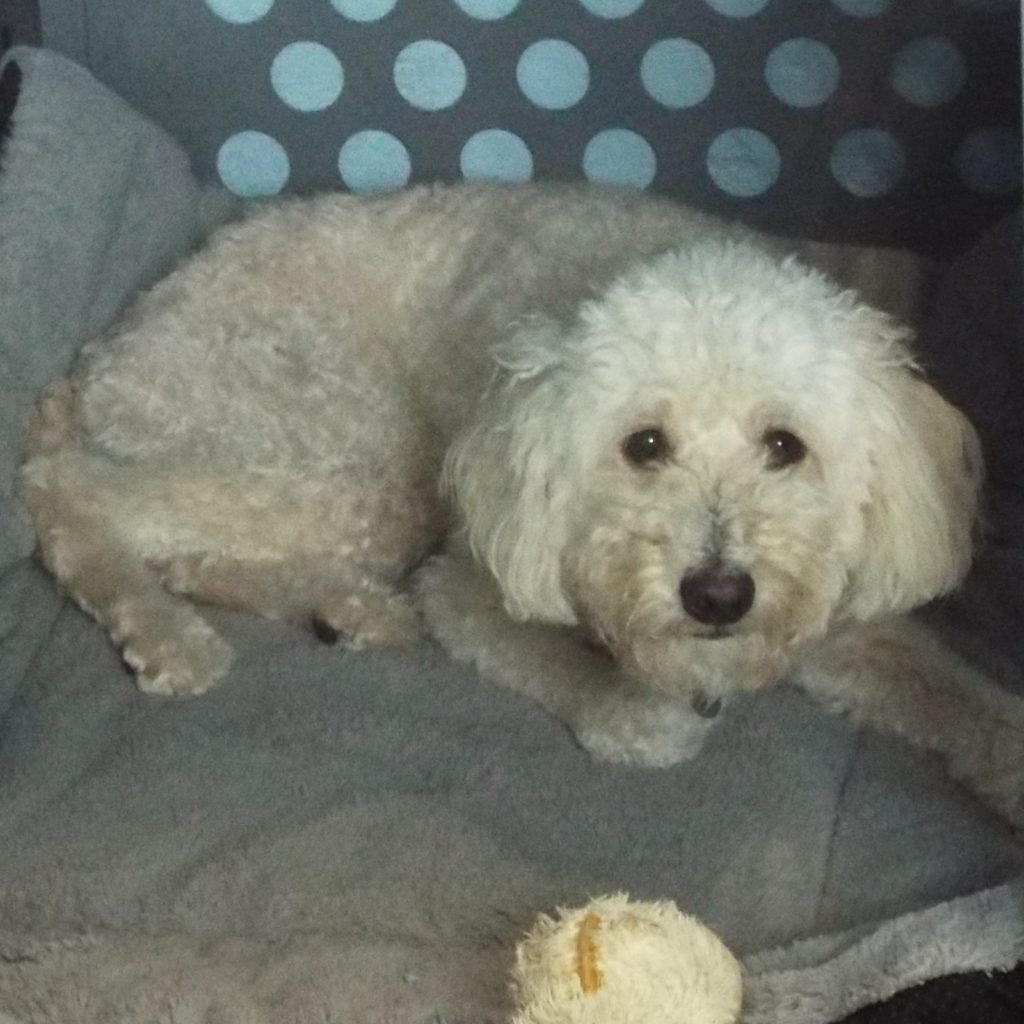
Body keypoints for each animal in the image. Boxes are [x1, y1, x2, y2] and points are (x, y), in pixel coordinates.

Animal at [18, 183, 1023, 824]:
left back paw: (346, 611)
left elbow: (963, 697)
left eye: (786, 446)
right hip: (345, 453)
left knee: (190, 544)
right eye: (643, 445)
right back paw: (169, 637)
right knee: (71, 496)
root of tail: (111, 344)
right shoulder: (471, 583)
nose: (718, 595)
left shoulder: (849, 617)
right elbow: (606, 696)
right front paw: (646, 707)